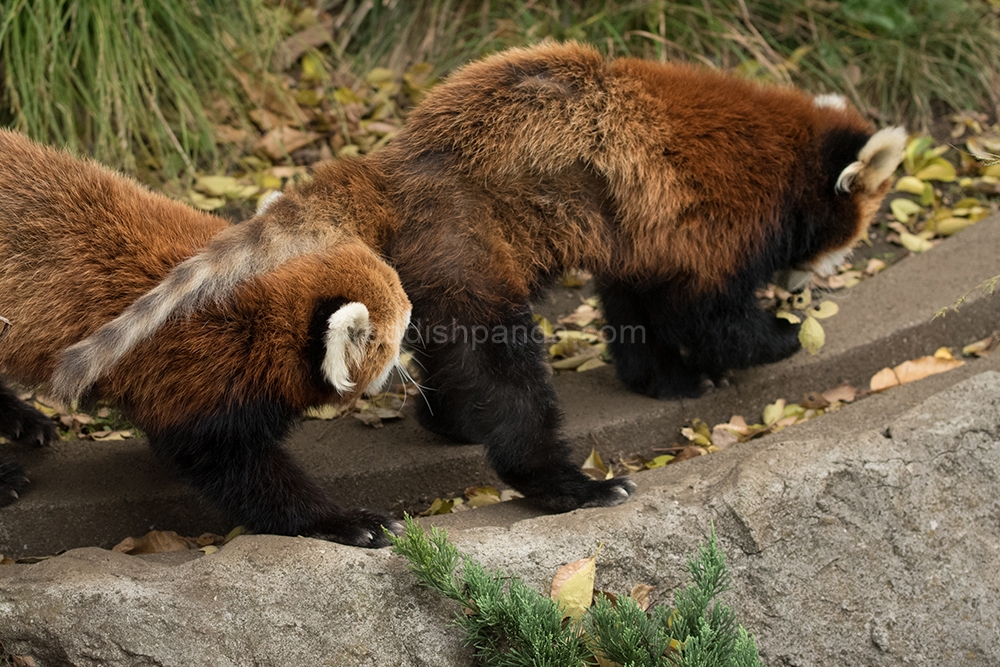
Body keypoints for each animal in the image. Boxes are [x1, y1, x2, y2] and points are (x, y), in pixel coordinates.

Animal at [0, 132, 414, 548]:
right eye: (396, 337)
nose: (416, 321)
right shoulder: (197, 376)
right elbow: (235, 469)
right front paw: (348, 522)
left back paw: (23, 421)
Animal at [48, 41, 908, 512]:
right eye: (858, 227)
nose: (835, 266)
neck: (783, 151)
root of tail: (397, 161)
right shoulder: (714, 223)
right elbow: (704, 312)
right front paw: (778, 337)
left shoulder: (641, 230)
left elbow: (634, 303)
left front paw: (662, 379)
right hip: (470, 243)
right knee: (502, 368)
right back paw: (562, 482)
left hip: (433, 261)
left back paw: (447, 420)